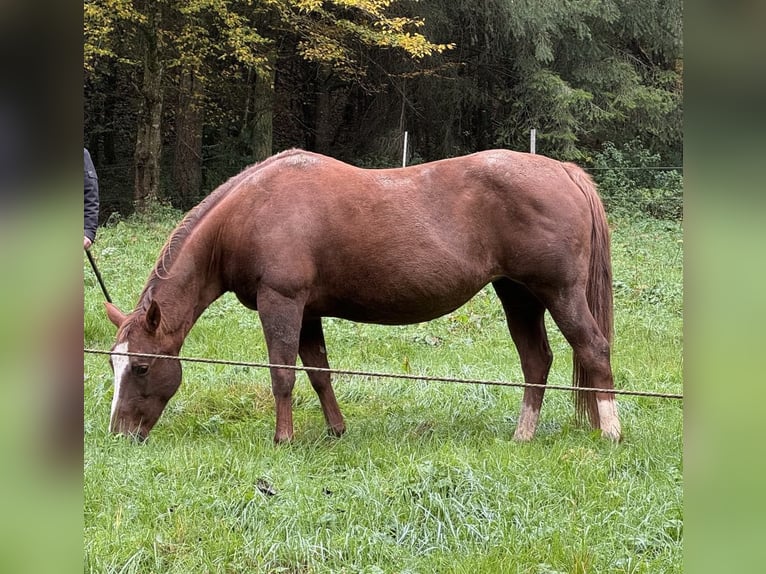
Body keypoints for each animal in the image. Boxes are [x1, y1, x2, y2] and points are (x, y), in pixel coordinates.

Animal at [105, 148, 624, 446]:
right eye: (114, 364)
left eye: (142, 367)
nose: (119, 434)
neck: (252, 212)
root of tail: (564, 171)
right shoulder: (308, 312)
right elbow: (319, 374)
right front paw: (335, 431)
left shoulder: (282, 303)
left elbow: (282, 375)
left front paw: (283, 439)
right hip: (518, 295)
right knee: (536, 360)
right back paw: (522, 436)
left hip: (559, 293)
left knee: (593, 349)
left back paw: (611, 431)